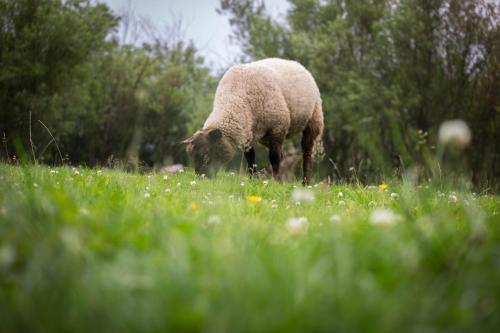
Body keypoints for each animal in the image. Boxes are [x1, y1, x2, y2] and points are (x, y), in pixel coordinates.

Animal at [184, 56, 324, 182]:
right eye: (191, 157)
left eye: (206, 155)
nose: (201, 178)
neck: (235, 98)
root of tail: (295, 63)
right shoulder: (248, 133)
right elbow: (250, 159)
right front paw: (253, 180)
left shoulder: (278, 128)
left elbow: (274, 158)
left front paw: (276, 182)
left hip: (313, 119)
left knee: (306, 153)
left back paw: (305, 182)